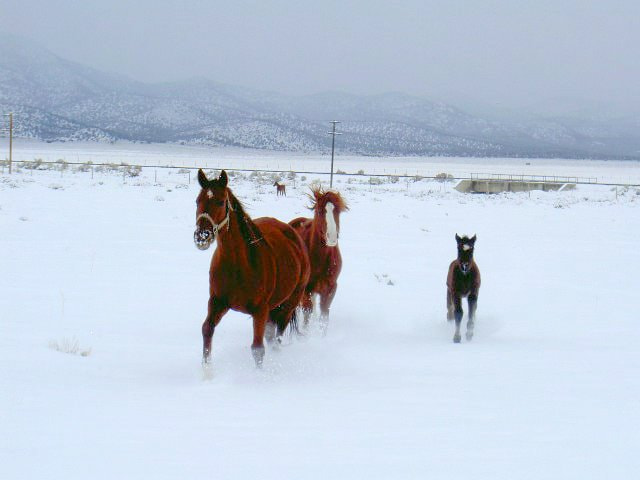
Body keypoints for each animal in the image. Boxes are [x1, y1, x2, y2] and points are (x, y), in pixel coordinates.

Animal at [193, 169, 310, 368]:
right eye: (197, 201)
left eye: (221, 201)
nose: (202, 236)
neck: (237, 266)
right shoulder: (217, 302)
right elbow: (207, 330)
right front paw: (206, 371)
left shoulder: (260, 311)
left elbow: (257, 350)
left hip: (290, 303)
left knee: (277, 337)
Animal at [289, 187, 348, 334]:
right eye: (320, 211)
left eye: (337, 211)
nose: (332, 237)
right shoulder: (306, 290)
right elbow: (307, 313)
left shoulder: (330, 288)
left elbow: (324, 315)